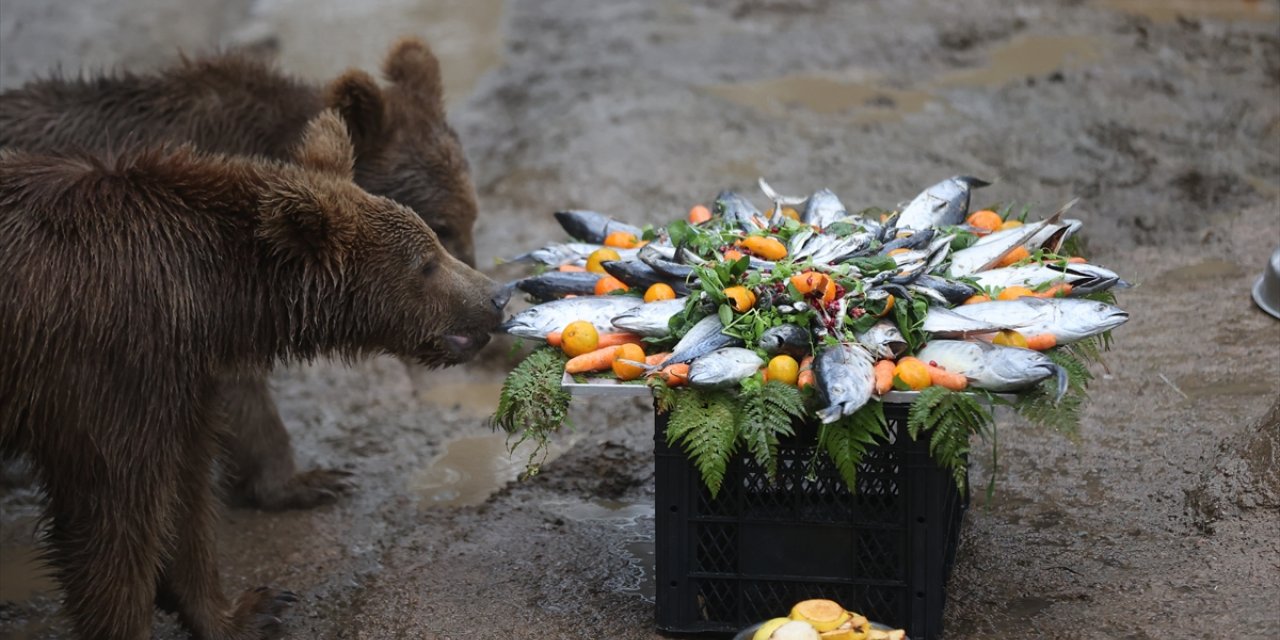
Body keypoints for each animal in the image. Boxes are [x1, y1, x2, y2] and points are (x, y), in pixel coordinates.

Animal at [0, 111, 504, 640]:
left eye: (434, 242)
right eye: (426, 261)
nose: (497, 296)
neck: (210, 296)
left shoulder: (179, 375)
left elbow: (187, 488)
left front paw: (247, 608)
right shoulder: (105, 366)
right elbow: (112, 515)